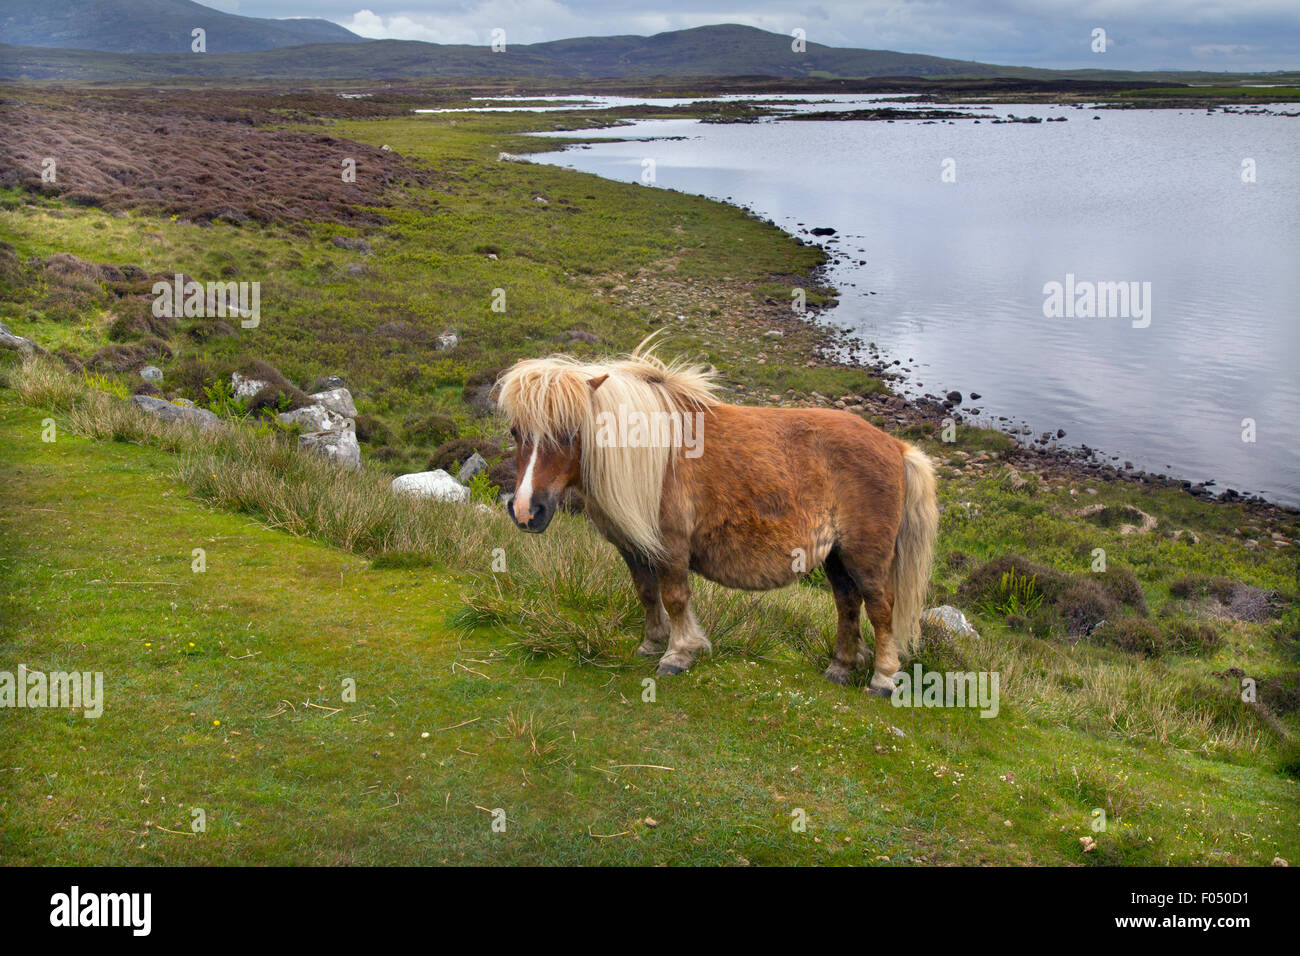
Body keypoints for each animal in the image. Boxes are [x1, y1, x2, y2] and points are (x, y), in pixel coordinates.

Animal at [493, 338, 935, 697]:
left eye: (570, 432)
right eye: (515, 432)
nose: (526, 511)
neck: (651, 459)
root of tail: (895, 446)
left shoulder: (671, 548)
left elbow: (674, 597)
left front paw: (677, 654)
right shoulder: (633, 547)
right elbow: (646, 593)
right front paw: (652, 643)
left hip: (866, 556)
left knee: (880, 607)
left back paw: (882, 678)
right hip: (837, 558)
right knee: (847, 605)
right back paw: (840, 668)